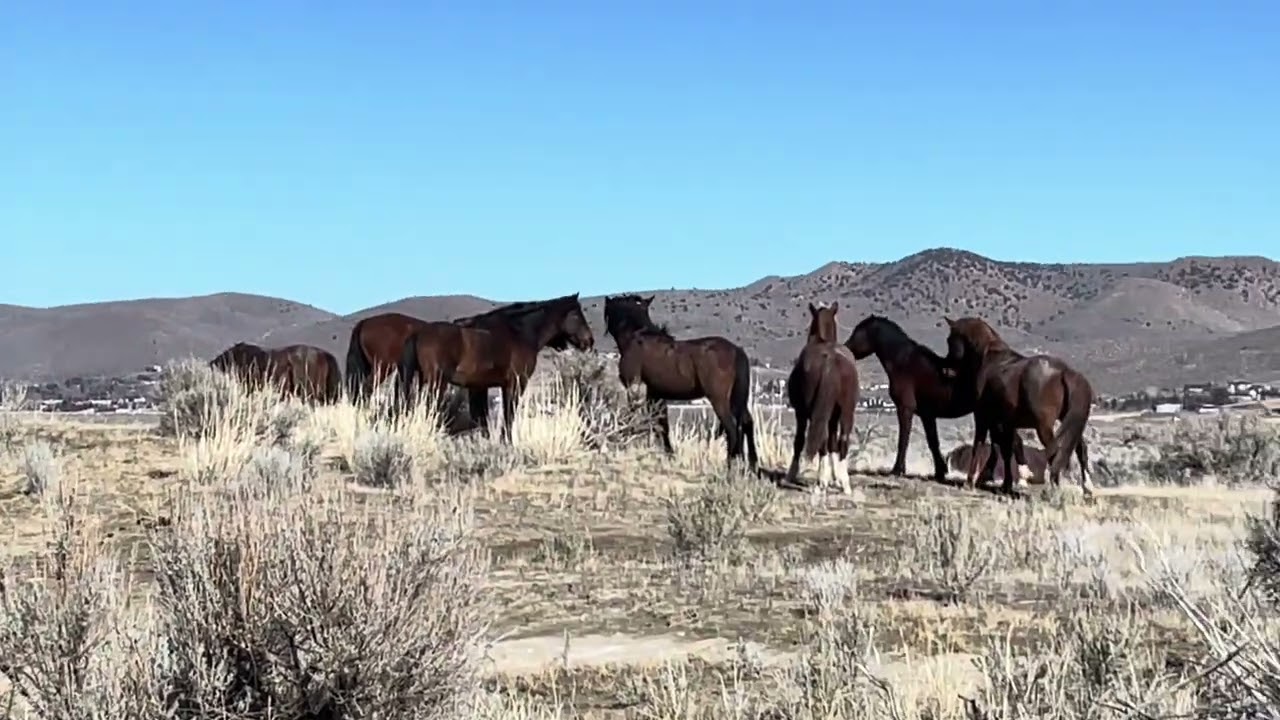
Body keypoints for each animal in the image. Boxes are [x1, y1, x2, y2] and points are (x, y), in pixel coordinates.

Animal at [396, 296, 594, 439]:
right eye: (576, 315)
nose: (589, 341)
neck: (519, 334)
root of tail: (419, 333)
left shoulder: (480, 387)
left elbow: (482, 418)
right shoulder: (515, 384)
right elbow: (508, 414)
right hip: (437, 382)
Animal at [601, 294, 758, 472]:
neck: (637, 336)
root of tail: (737, 350)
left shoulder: (634, 388)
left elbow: (632, 418)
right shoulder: (655, 394)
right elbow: (662, 424)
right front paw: (669, 454)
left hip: (719, 399)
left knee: (732, 429)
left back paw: (729, 467)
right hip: (737, 399)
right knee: (747, 423)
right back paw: (752, 465)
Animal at [784, 302, 859, 493]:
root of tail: (830, 359)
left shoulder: (801, 413)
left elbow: (799, 441)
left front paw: (791, 474)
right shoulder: (833, 416)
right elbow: (833, 444)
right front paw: (836, 478)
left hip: (815, 412)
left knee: (822, 442)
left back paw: (821, 481)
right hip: (846, 410)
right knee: (842, 440)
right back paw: (844, 483)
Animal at [844, 314, 1024, 481]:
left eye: (858, 331)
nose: (846, 349)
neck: (903, 362)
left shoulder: (905, 409)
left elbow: (903, 440)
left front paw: (897, 470)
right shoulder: (927, 415)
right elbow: (933, 442)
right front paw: (940, 471)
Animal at [942, 316, 1094, 496]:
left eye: (949, 340)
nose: (946, 370)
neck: (989, 359)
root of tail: (1065, 371)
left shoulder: (984, 417)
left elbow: (981, 444)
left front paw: (971, 482)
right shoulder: (1004, 421)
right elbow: (1006, 448)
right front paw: (1007, 483)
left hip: (1043, 427)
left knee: (1056, 453)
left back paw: (1055, 489)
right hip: (1069, 420)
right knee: (1080, 449)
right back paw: (1087, 488)